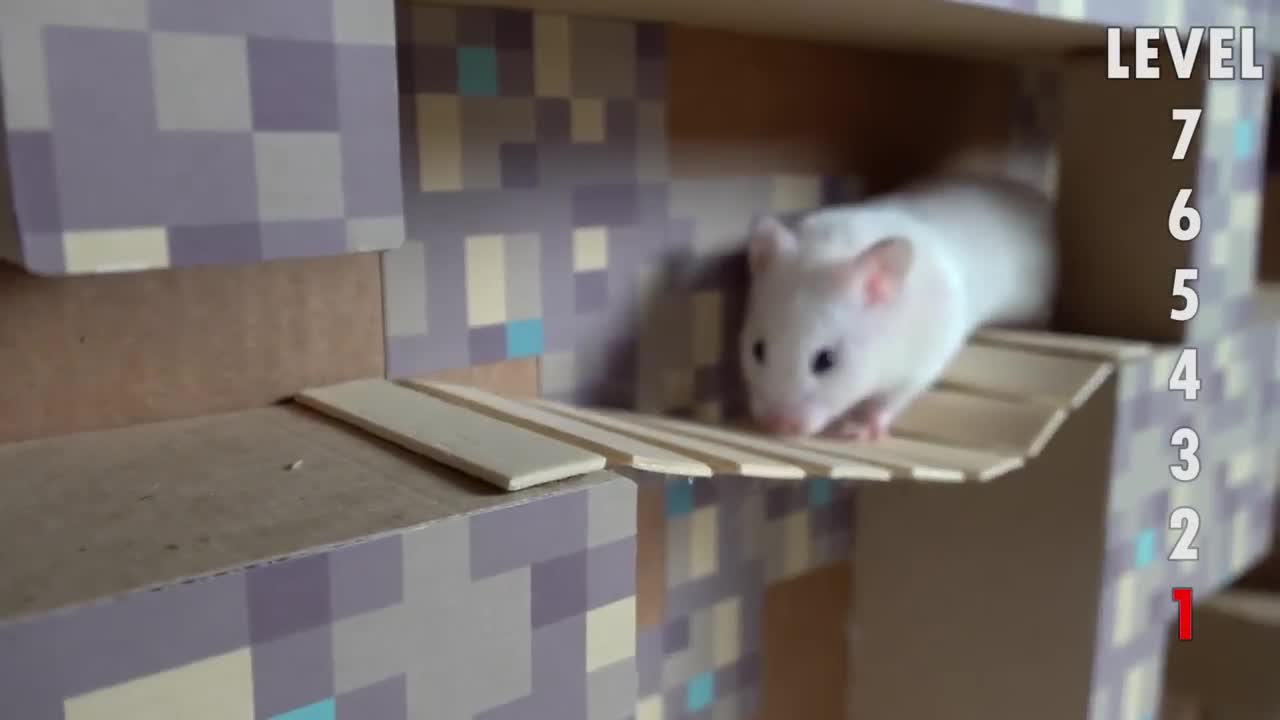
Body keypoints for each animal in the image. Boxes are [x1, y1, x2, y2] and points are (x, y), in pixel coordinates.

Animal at [742, 146, 1059, 438]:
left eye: (826, 361)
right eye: (757, 349)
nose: (776, 427)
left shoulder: (924, 358)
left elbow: (893, 398)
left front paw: (858, 429)